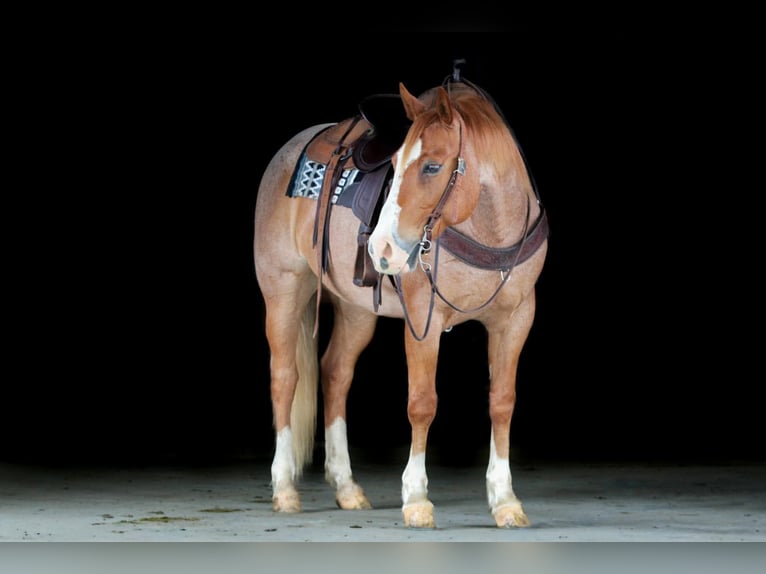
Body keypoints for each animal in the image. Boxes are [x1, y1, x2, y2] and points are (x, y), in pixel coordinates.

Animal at [253, 67, 549, 528]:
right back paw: (283, 488)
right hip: (283, 289)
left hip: (356, 311)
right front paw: (416, 498)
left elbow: (502, 402)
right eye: (393, 164)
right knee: (285, 378)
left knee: (335, 373)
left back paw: (347, 487)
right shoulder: (423, 320)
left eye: (432, 166)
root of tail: (289, 150)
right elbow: (422, 403)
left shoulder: (516, 318)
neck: (489, 227)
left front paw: (505, 500)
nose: (382, 249)